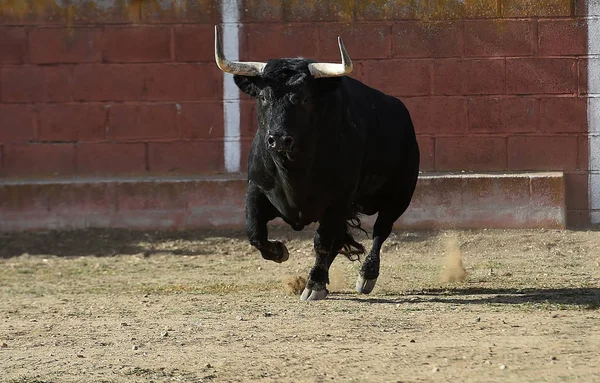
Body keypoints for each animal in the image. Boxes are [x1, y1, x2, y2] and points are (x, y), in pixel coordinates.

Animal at [214, 27, 418, 304]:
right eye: (264, 97)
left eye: (303, 99)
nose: (279, 139)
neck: (294, 171)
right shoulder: (256, 190)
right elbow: (255, 234)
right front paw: (280, 251)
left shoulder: (338, 200)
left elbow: (321, 243)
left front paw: (315, 284)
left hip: (399, 195)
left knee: (380, 230)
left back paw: (366, 275)